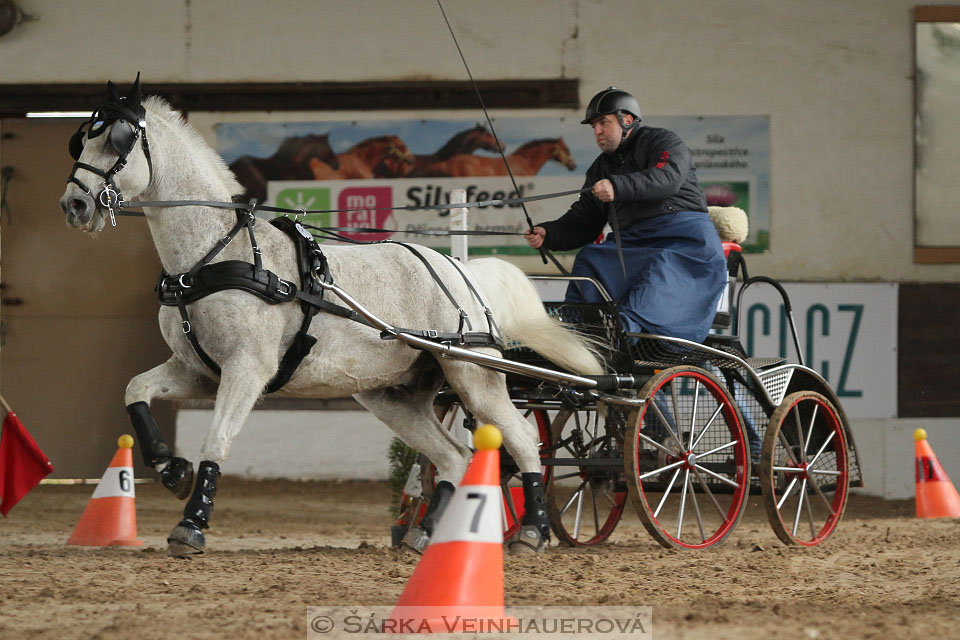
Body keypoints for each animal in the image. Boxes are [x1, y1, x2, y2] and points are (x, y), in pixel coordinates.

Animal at [58, 77, 600, 556]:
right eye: (81, 137)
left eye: (117, 138)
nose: (74, 204)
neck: (214, 255)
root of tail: (460, 268)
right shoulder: (198, 370)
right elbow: (136, 391)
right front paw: (171, 469)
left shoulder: (247, 369)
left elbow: (218, 439)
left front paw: (190, 526)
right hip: (394, 397)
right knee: (454, 456)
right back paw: (425, 535)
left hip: (474, 375)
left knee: (524, 442)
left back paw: (531, 532)